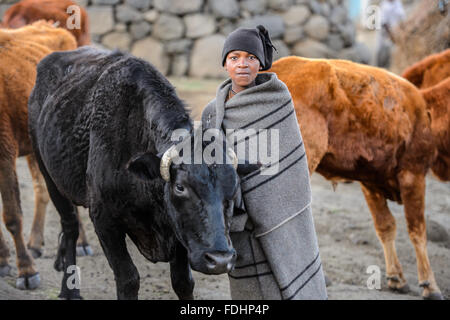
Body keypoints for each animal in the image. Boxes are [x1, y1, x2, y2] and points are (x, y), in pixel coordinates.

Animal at [0, 20, 76, 290]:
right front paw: (3, 259)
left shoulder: (5, 152)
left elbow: (12, 216)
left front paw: (26, 271)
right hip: (35, 149)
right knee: (41, 189)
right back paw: (35, 243)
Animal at [26, 47, 239, 300]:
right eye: (180, 187)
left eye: (234, 189)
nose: (220, 260)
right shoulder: (104, 219)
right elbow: (128, 278)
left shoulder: (177, 228)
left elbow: (183, 282)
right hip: (49, 176)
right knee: (70, 226)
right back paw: (70, 290)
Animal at [268, 55, 446, 300]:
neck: (425, 108)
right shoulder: (414, 175)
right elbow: (417, 231)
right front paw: (430, 285)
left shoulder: (370, 182)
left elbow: (385, 226)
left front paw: (396, 278)